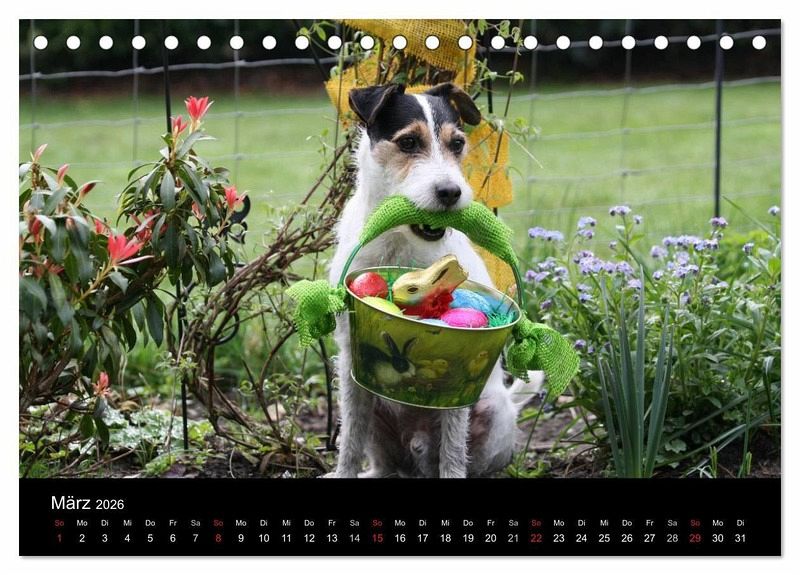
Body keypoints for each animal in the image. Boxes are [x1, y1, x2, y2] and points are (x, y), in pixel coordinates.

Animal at [328, 82, 540, 478]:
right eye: (409, 142)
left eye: (457, 144)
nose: (451, 192)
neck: (400, 241)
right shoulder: (349, 356)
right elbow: (348, 443)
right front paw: (343, 472)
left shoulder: (455, 397)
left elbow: (453, 453)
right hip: (373, 410)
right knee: (379, 458)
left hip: (490, 414)